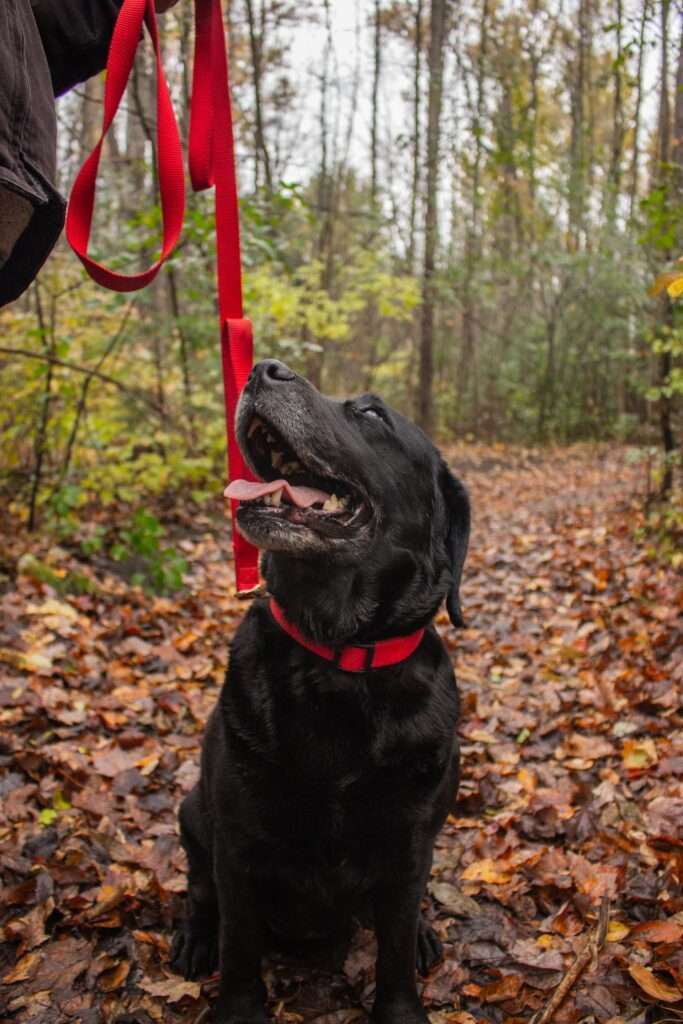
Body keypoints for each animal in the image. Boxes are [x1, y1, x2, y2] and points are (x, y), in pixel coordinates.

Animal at [171, 360, 471, 1024]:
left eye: (372, 413)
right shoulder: (238, 848)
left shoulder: (409, 847)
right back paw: (194, 936)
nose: (264, 369)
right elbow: (239, 946)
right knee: (200, 894)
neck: (338, 657)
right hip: (192, 813)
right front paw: (236, 1006)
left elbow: (393, 949)